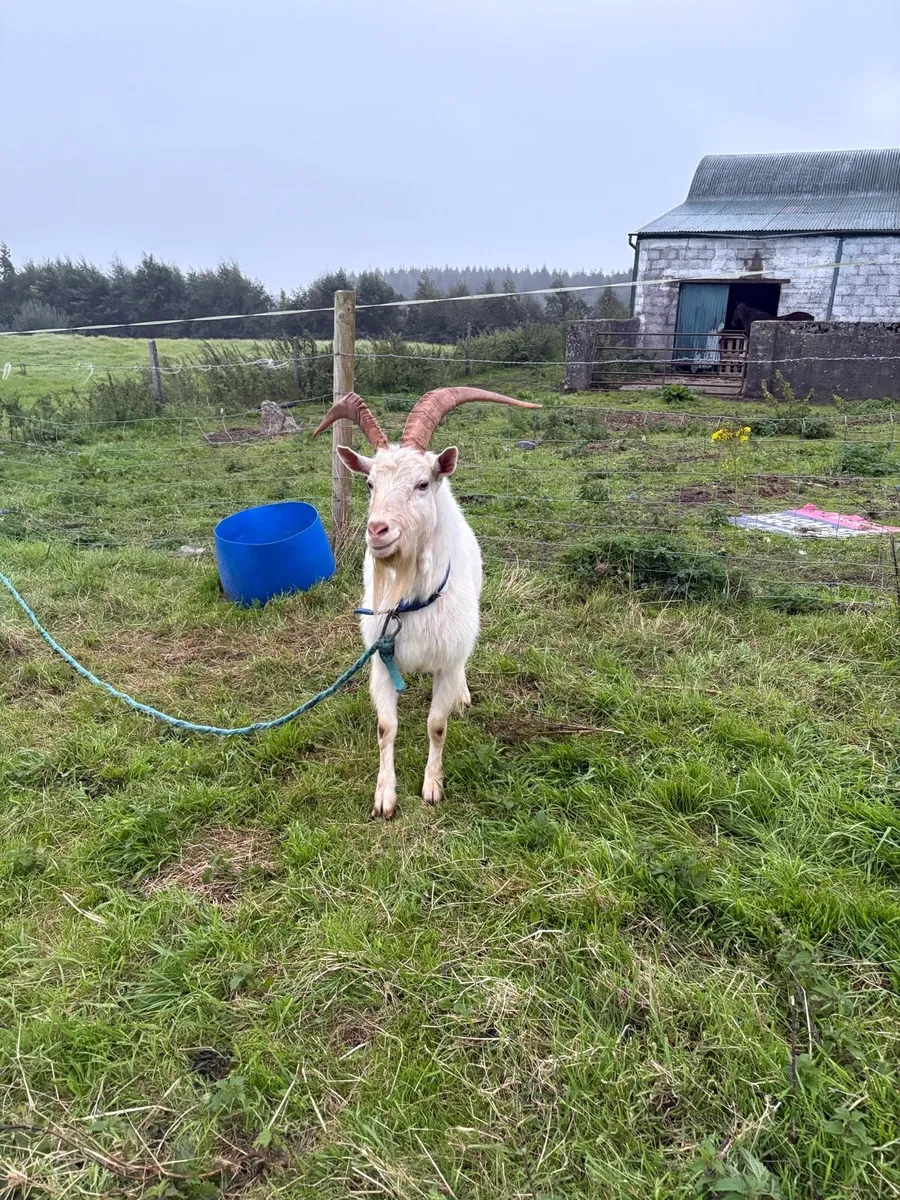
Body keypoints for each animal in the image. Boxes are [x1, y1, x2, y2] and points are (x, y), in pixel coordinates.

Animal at [314, 387, 540, 819]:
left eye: (421, 484)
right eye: (369, 484)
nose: (377, 530)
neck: (412, 603)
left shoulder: (447, 659)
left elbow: (437, 724)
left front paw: (432, 786)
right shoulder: (380, 660)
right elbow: (385, 727)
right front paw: (384, 795)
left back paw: (463, 697)